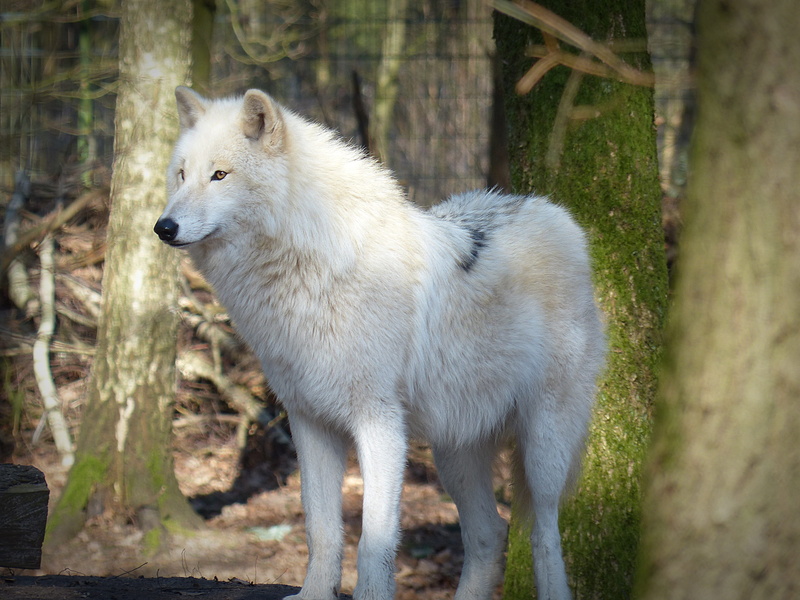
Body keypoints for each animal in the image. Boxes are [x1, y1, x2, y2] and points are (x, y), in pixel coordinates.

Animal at [154, 86, 605, 600]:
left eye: (220, 175)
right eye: (182, 174)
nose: (163, 227)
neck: (307, 268)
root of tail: (552, 212)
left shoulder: (380, 422)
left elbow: (374, 537)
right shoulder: (308, 420)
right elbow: (321, 528)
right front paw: (313, 594)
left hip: (542, 447)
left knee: (543, 533)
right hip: (456, 452)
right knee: (490, 536)